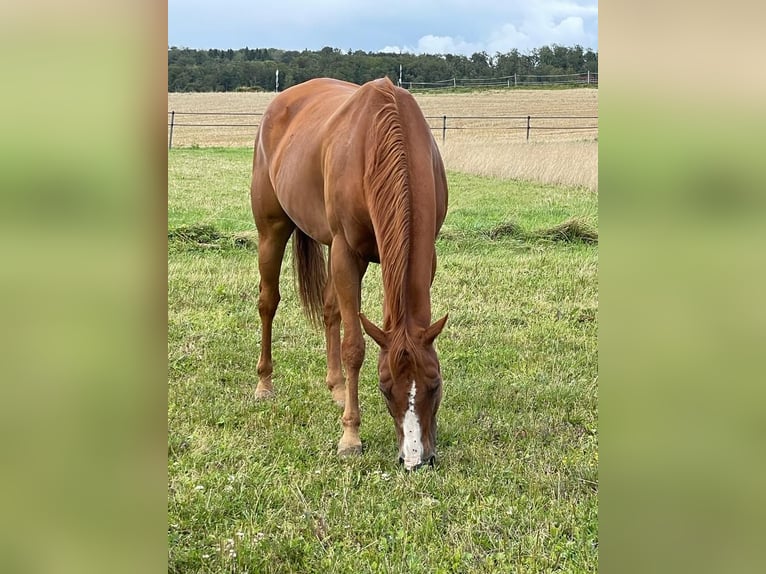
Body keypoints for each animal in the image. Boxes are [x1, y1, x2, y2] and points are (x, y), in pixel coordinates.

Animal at [250, 77, 450, 472]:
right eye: (384, 388)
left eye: (434, 383)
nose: (415, 460)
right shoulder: (347, 254)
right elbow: (354, 346)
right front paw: (350, 437)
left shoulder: (426, 256)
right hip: (272, 232)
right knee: (268, 303)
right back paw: (265, 384)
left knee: (331, 311)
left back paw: (338, 388)